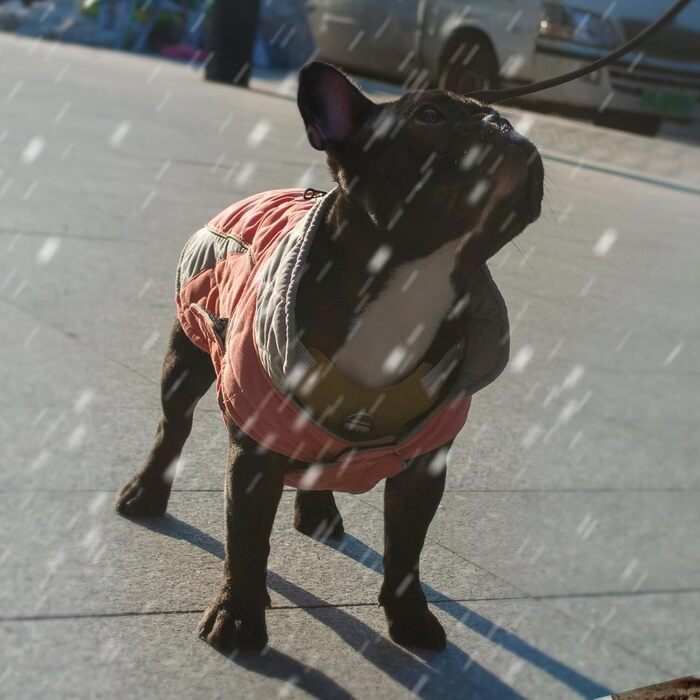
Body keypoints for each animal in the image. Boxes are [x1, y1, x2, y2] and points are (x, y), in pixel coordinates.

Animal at [115, 63, 544, 652]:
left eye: (498, 116)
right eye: (429, 116)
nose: (502, 124)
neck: (414, 277)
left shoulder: (424, 465)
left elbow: (406, 548)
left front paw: (410, 618)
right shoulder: (256, 451)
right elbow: (246, 538)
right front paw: (239, 617)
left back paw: (318, 512)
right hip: (187, 355)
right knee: (172, 426)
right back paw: (145, 494)